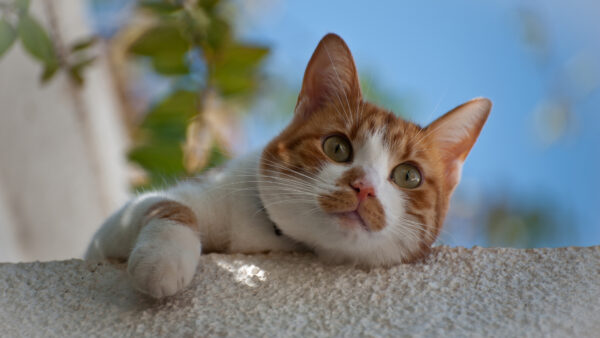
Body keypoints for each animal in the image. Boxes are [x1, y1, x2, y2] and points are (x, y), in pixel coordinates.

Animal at [86, 33, 494, 298]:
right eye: (337, 147)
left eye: (408, 175)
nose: (363, 186)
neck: (274, 241)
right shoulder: (106, 236)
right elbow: (169, 205)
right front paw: (164, 262)